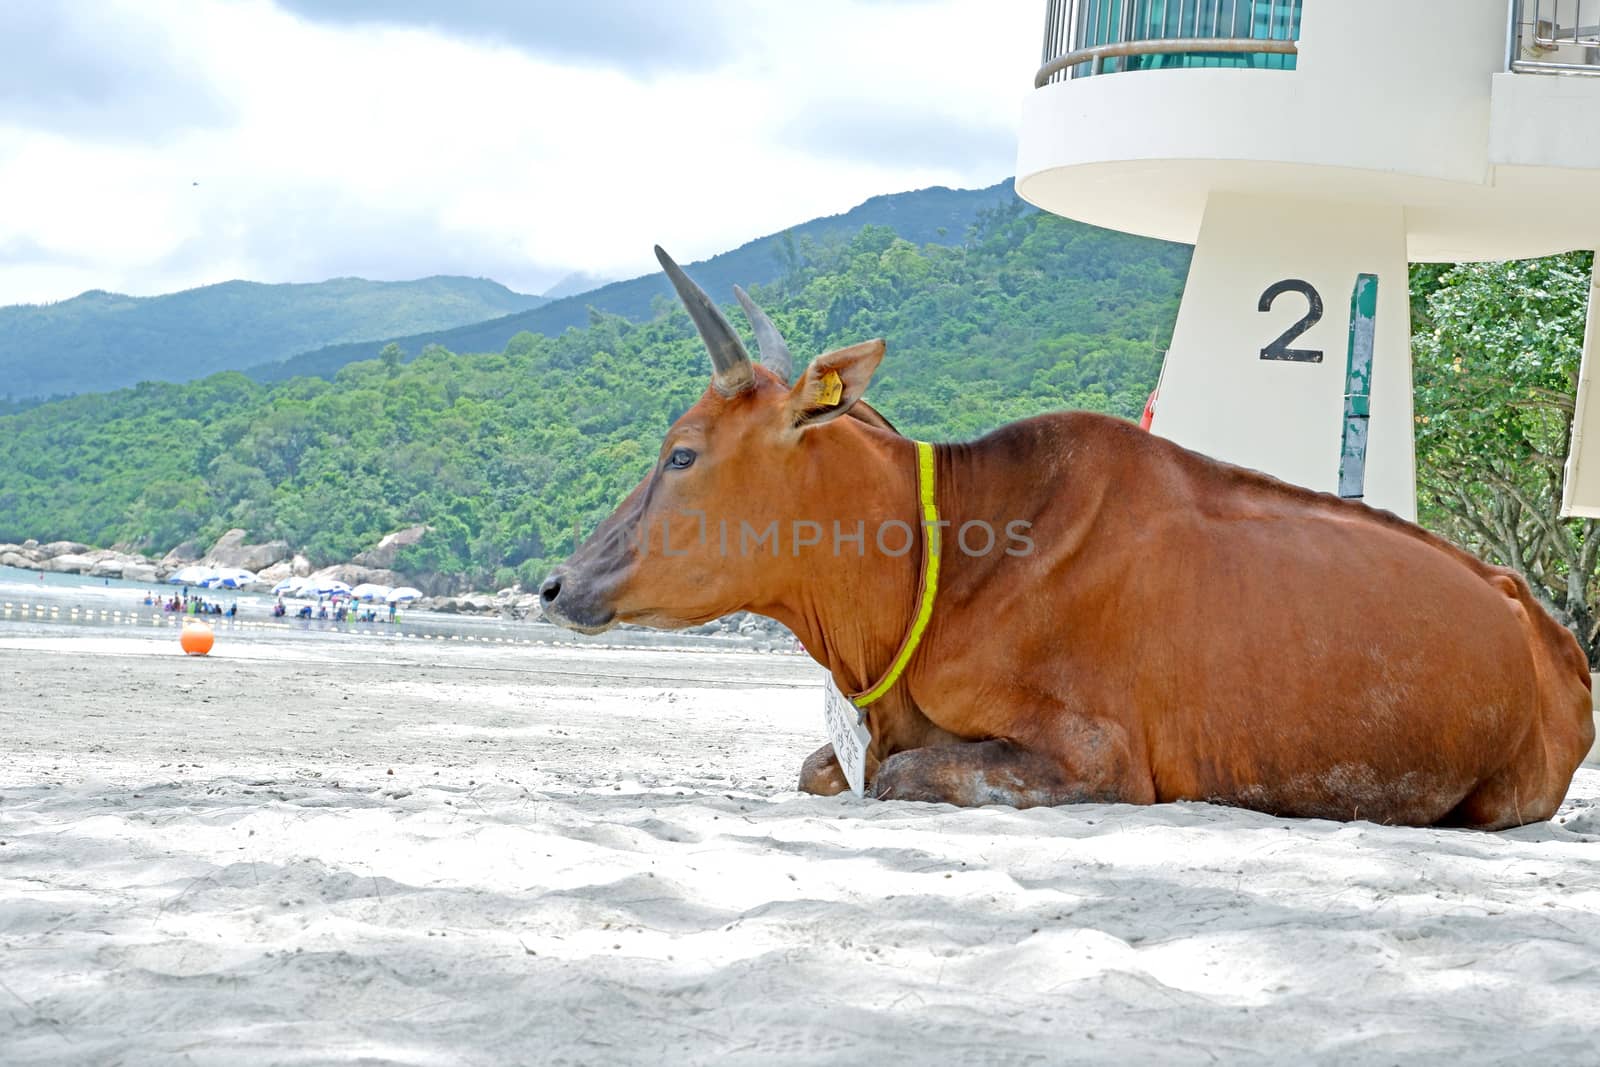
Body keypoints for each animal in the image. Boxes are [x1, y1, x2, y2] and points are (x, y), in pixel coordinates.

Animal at [540, 247, 1600, 825]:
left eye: (681, 453)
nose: (554, 585)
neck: (949, 563)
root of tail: (1541, 619)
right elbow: (825, 769)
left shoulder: (1099, 760)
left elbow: (897, 775)